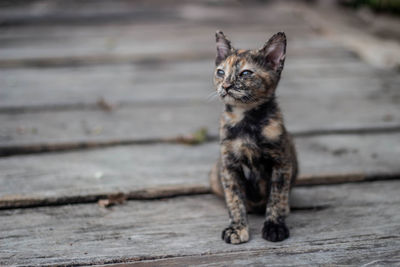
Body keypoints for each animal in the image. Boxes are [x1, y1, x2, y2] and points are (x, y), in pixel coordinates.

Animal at [209, 30, 296, 245]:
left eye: (246, 73)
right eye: (220, 72)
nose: (226, 86)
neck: (245, 120)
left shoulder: (281, 162)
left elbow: (276, 196)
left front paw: (274, 226)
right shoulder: (228, 166)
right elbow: (234, 200)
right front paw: (237, 228)